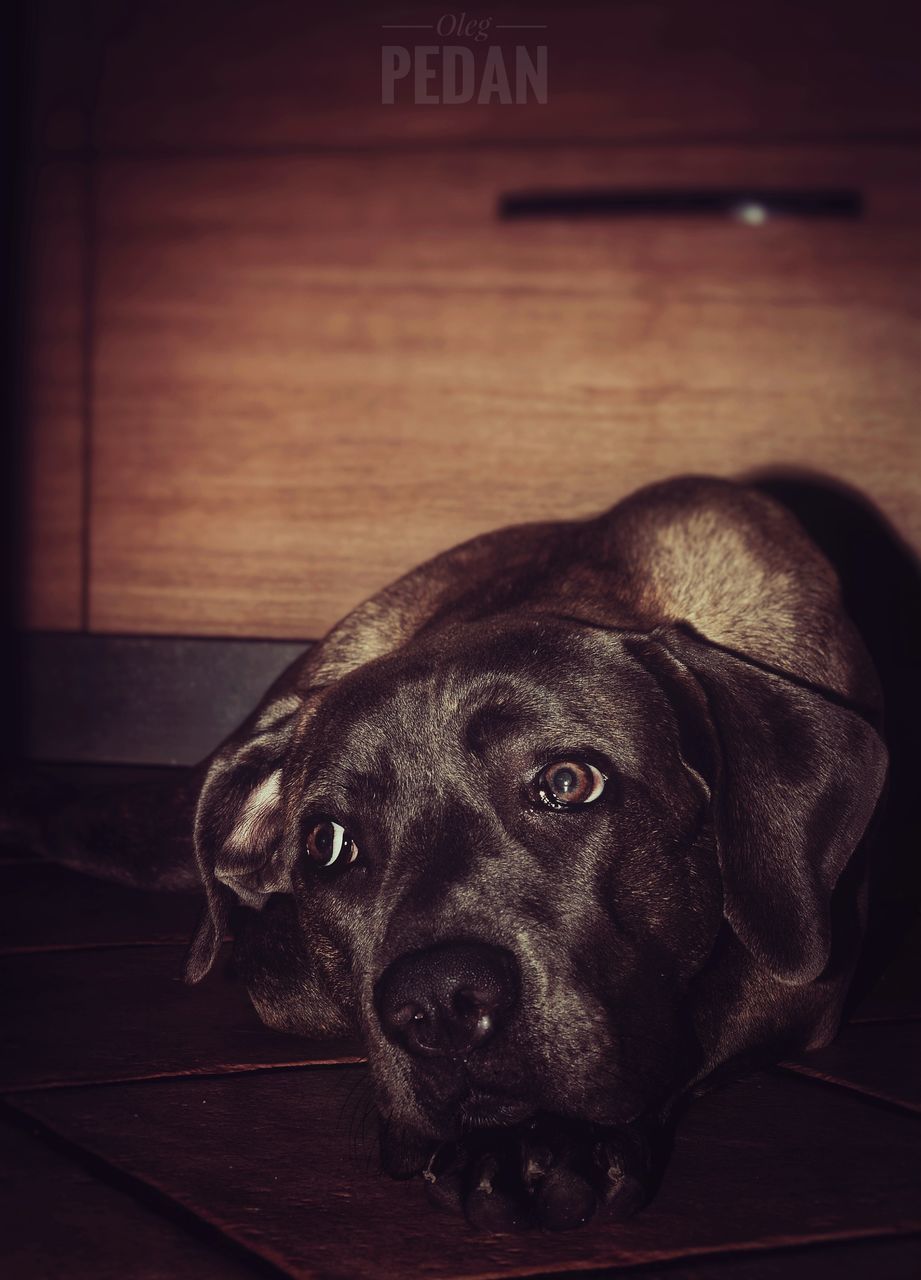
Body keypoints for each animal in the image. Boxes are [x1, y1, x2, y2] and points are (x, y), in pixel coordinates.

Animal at [8, 478, 890, 1228]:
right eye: (327, 844)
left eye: (568, 783)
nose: (437, 1005)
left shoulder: (805, 969)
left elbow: (704, 1014)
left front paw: (561, 1143)